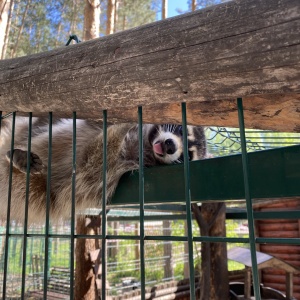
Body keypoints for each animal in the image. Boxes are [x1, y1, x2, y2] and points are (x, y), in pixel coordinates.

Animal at [0, 116, 206, 223]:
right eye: (181, 130)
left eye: (187, 156)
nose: (171, 146)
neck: (145, 143)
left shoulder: (117, 167)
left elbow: (90, 166)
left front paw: (122, 126)